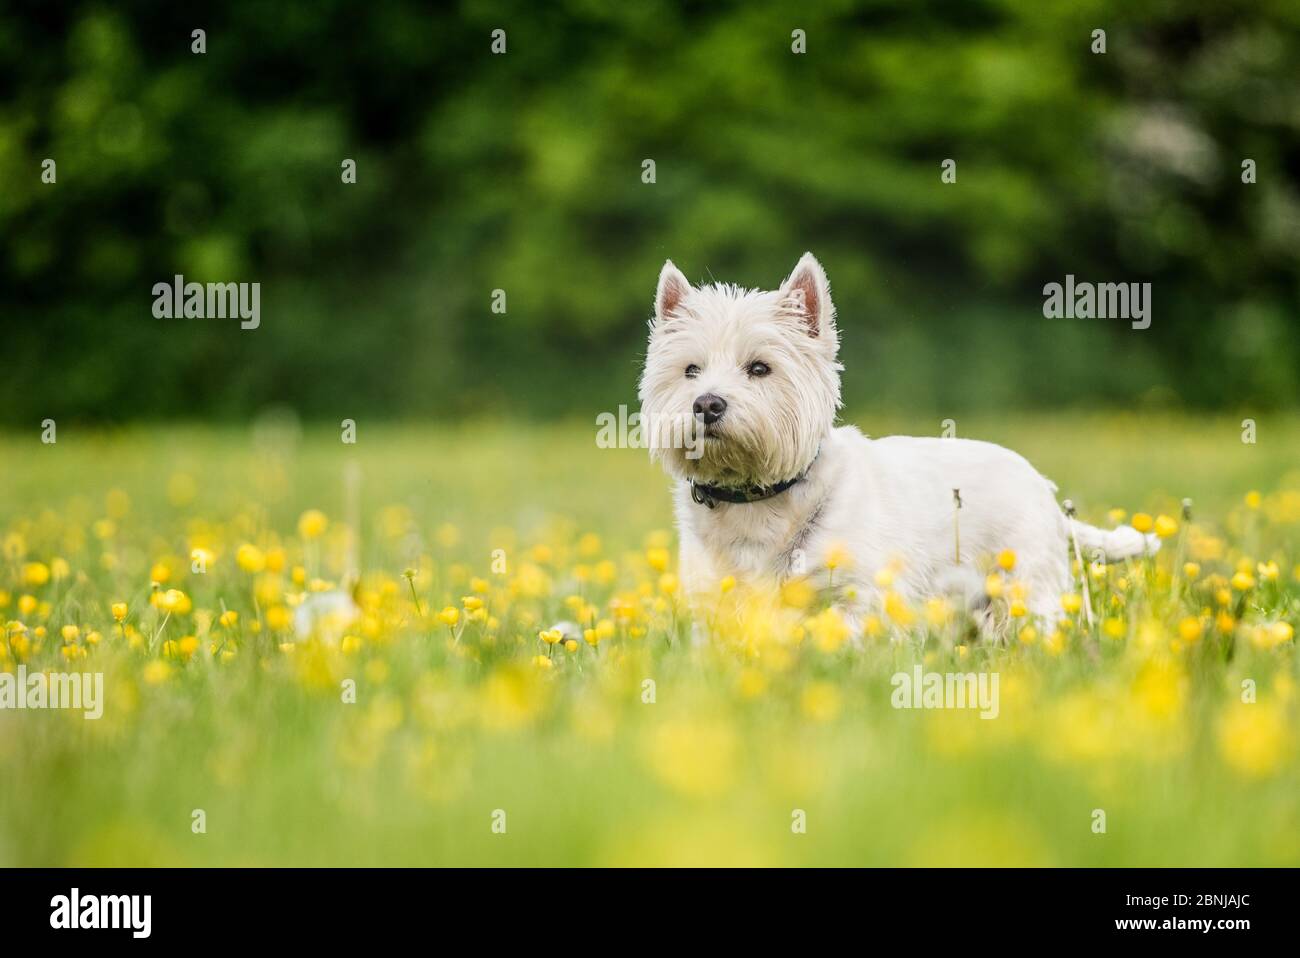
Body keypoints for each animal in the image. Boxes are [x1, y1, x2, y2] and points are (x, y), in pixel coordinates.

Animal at [634, 250, 1154, 631]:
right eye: (690, 370)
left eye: (760, 368)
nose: (707, 404)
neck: (757, 501)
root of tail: (1044, 490)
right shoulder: (713, 603)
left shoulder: (862, 596)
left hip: (1025, 582)